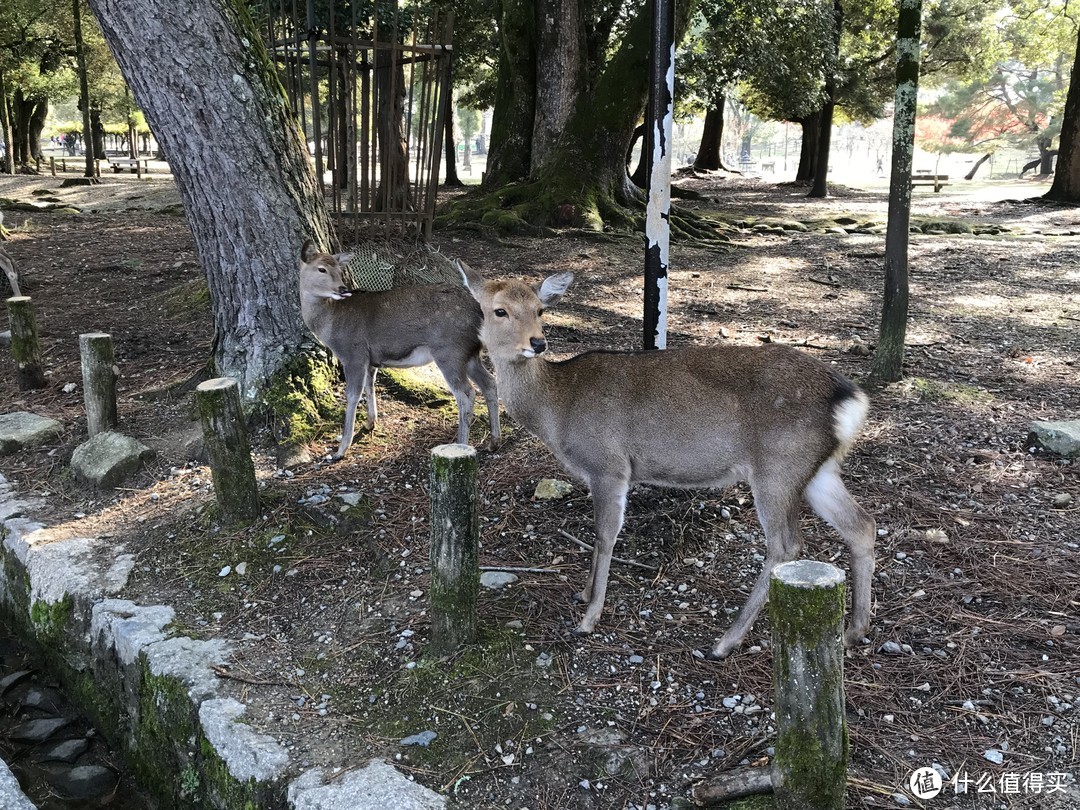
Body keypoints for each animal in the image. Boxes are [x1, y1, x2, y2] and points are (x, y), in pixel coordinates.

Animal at [300, 237, 501, 460]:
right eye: (321, 269)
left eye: (338, 269)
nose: (342, 288)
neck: (331, 325)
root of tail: (479, 313)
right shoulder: (371, 359)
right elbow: (370, 386)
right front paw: (370, 423)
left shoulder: (353, 353)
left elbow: (352, 395)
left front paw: (341, 449)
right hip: (471, 353)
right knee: (489, 382)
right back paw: (494, 442)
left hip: (450, 351)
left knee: (466, 393)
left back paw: (461, 445)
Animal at [466, 266, 876, 660]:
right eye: (499, 310)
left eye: (540, 309)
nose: (537, 342)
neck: (557, 409)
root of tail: (851, 399)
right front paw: (583, 593)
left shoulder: (608, 464)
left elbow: (605, 534)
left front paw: (589, 617)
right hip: (816, 468)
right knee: (861, 524)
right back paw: (854, 631)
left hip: (778, 465)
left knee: (787, 545)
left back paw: (725, 642)